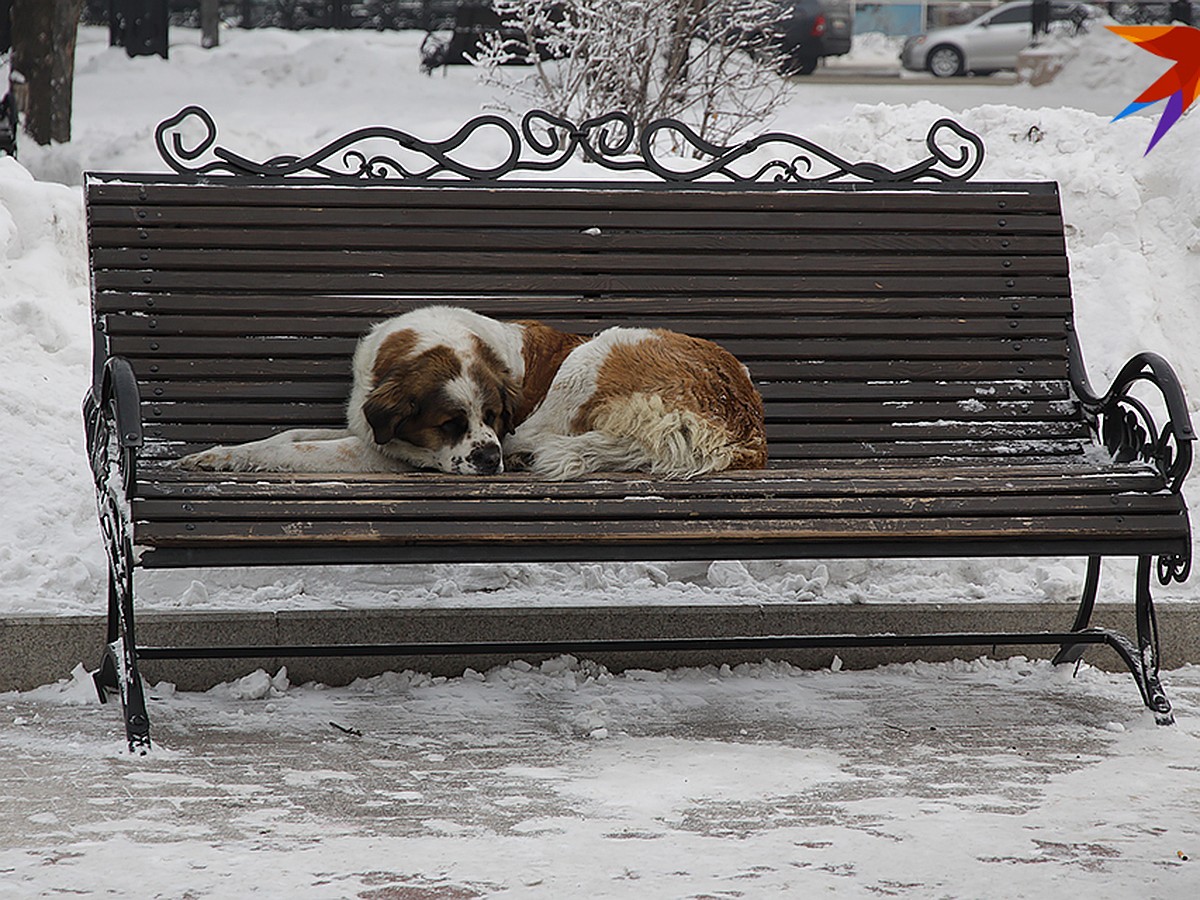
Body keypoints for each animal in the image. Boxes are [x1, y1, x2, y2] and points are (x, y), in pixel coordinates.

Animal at [177, 307, 768, 482]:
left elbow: (294, 447)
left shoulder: (387, 451)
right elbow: (290, 433)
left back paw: (525, 455)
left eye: (493, 415)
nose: (489, 458)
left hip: (597, 351)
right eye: (449, 423)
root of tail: (744, 427)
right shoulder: (364, 425)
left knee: (539, 436)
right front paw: (220, 454)